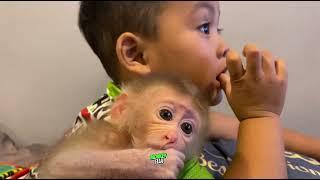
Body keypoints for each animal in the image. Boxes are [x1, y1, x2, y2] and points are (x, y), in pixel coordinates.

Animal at [37, 74, 211, 179]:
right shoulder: (109, 136)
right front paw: (149, 164)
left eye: (186, 128)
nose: (173, 136)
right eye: (166, 115)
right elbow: (59, 163)